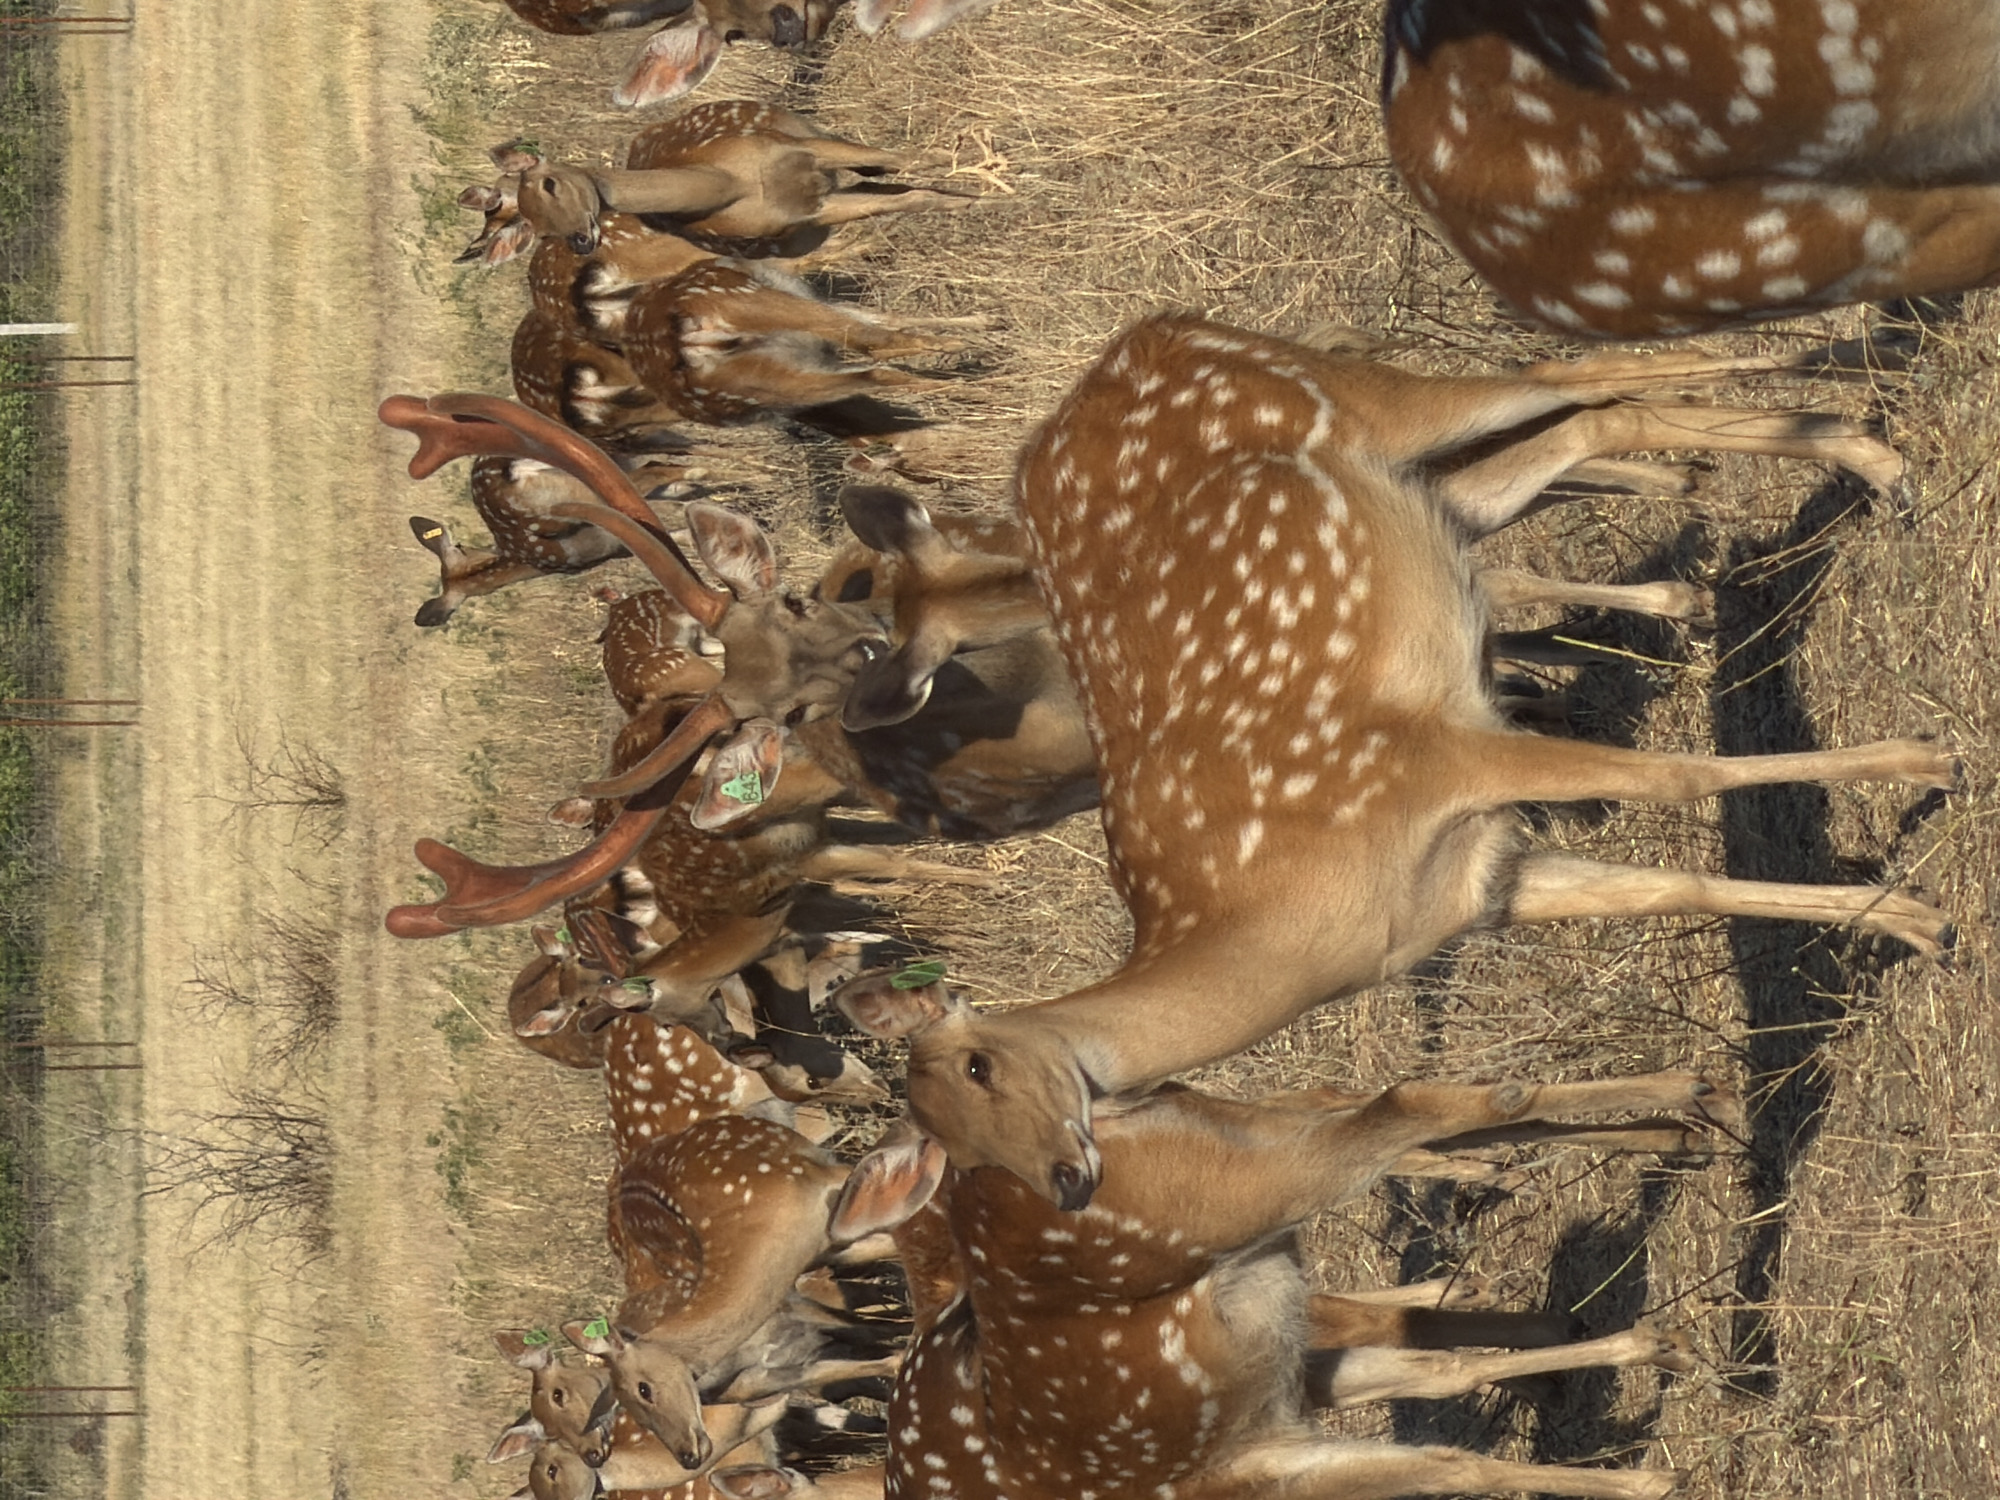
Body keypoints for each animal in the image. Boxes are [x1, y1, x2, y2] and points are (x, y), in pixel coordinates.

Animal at [489, 103, 973, 261]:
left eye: (549, 184)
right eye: (539, 232)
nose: (580, 241)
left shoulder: (797, 148)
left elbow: (898, 159)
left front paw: (968, 165)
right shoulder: (806, 215)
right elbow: (907, 198)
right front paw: (973, 198)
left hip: (797, 129)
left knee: (874, 166)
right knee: (880, 187)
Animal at [820, 1066, 1732, 1500]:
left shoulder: (1239, 1472)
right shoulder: (1273, 1422)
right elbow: (1454, 1438)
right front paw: (1652, 1438)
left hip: (1218, 1184)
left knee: (1412, 1102)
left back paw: (1693, 1099)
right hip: (1228, 1137)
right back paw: (1686, 1134)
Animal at [823, 317, 1957, 1212]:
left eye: (980, 1063)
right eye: (963, 1157)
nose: (1064, 1183)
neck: (1304, 921)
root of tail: (1131, 344)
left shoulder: (1429, 750)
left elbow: (1679, 780)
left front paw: (1925, 761)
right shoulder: (1482, 882)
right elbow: (1671, 884)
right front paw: (1910, 919)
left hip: (1362, 402)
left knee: (1570, 373)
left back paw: (1874, 426)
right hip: (1427, 483)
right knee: (1587, 410)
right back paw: (1848, 422)